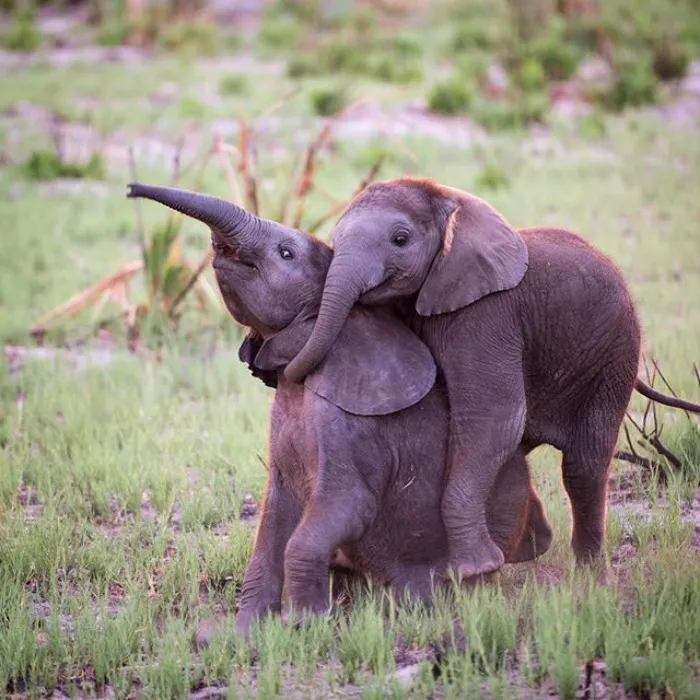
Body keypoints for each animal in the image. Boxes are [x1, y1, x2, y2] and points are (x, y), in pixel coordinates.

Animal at [126, 182, 553, 636]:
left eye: (285, 253)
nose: (131, 189)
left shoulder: (348, 432)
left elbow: (342, 509)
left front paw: (303, 625)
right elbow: (272, 519)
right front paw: (244, 632)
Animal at [283, 176, 700, 581]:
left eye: (400, 239)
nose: (284, 367)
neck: (449, 200)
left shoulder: (486, 315)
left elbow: (493, 419)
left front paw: (471, 571)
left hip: (615, 352)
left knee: (584, 464)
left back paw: (589, 578)